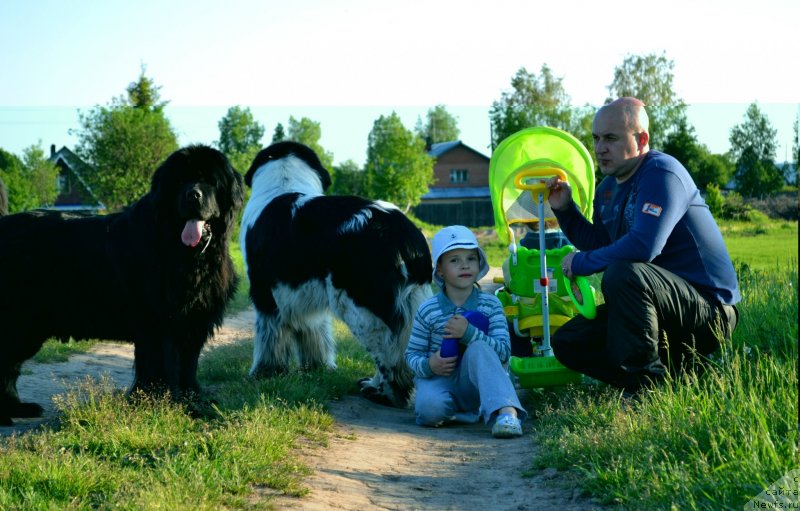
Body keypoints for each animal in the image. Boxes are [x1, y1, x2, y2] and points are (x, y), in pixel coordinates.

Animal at [0, 146, 244, 426]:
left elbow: (187, 368)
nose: (193, 194)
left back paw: (18, 408)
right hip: (19, 322)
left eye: (210, 181)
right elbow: (163, 368)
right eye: (180, 181)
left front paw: (194, 402)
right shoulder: (159, 324)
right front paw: (164, 405)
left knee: (9, 367)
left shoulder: (193, 324)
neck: (185, 254)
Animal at [241, 140, 434, 408]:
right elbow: (315, 334)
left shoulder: (266, 295)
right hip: (410, 301)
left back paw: (386, 395)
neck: (284, 183)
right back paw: (372, 386)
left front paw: (264, 373)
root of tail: (403, 234)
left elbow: (268, 340)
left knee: (389, 353)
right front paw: (317, 368)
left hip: (361, 308)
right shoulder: (302, 296)